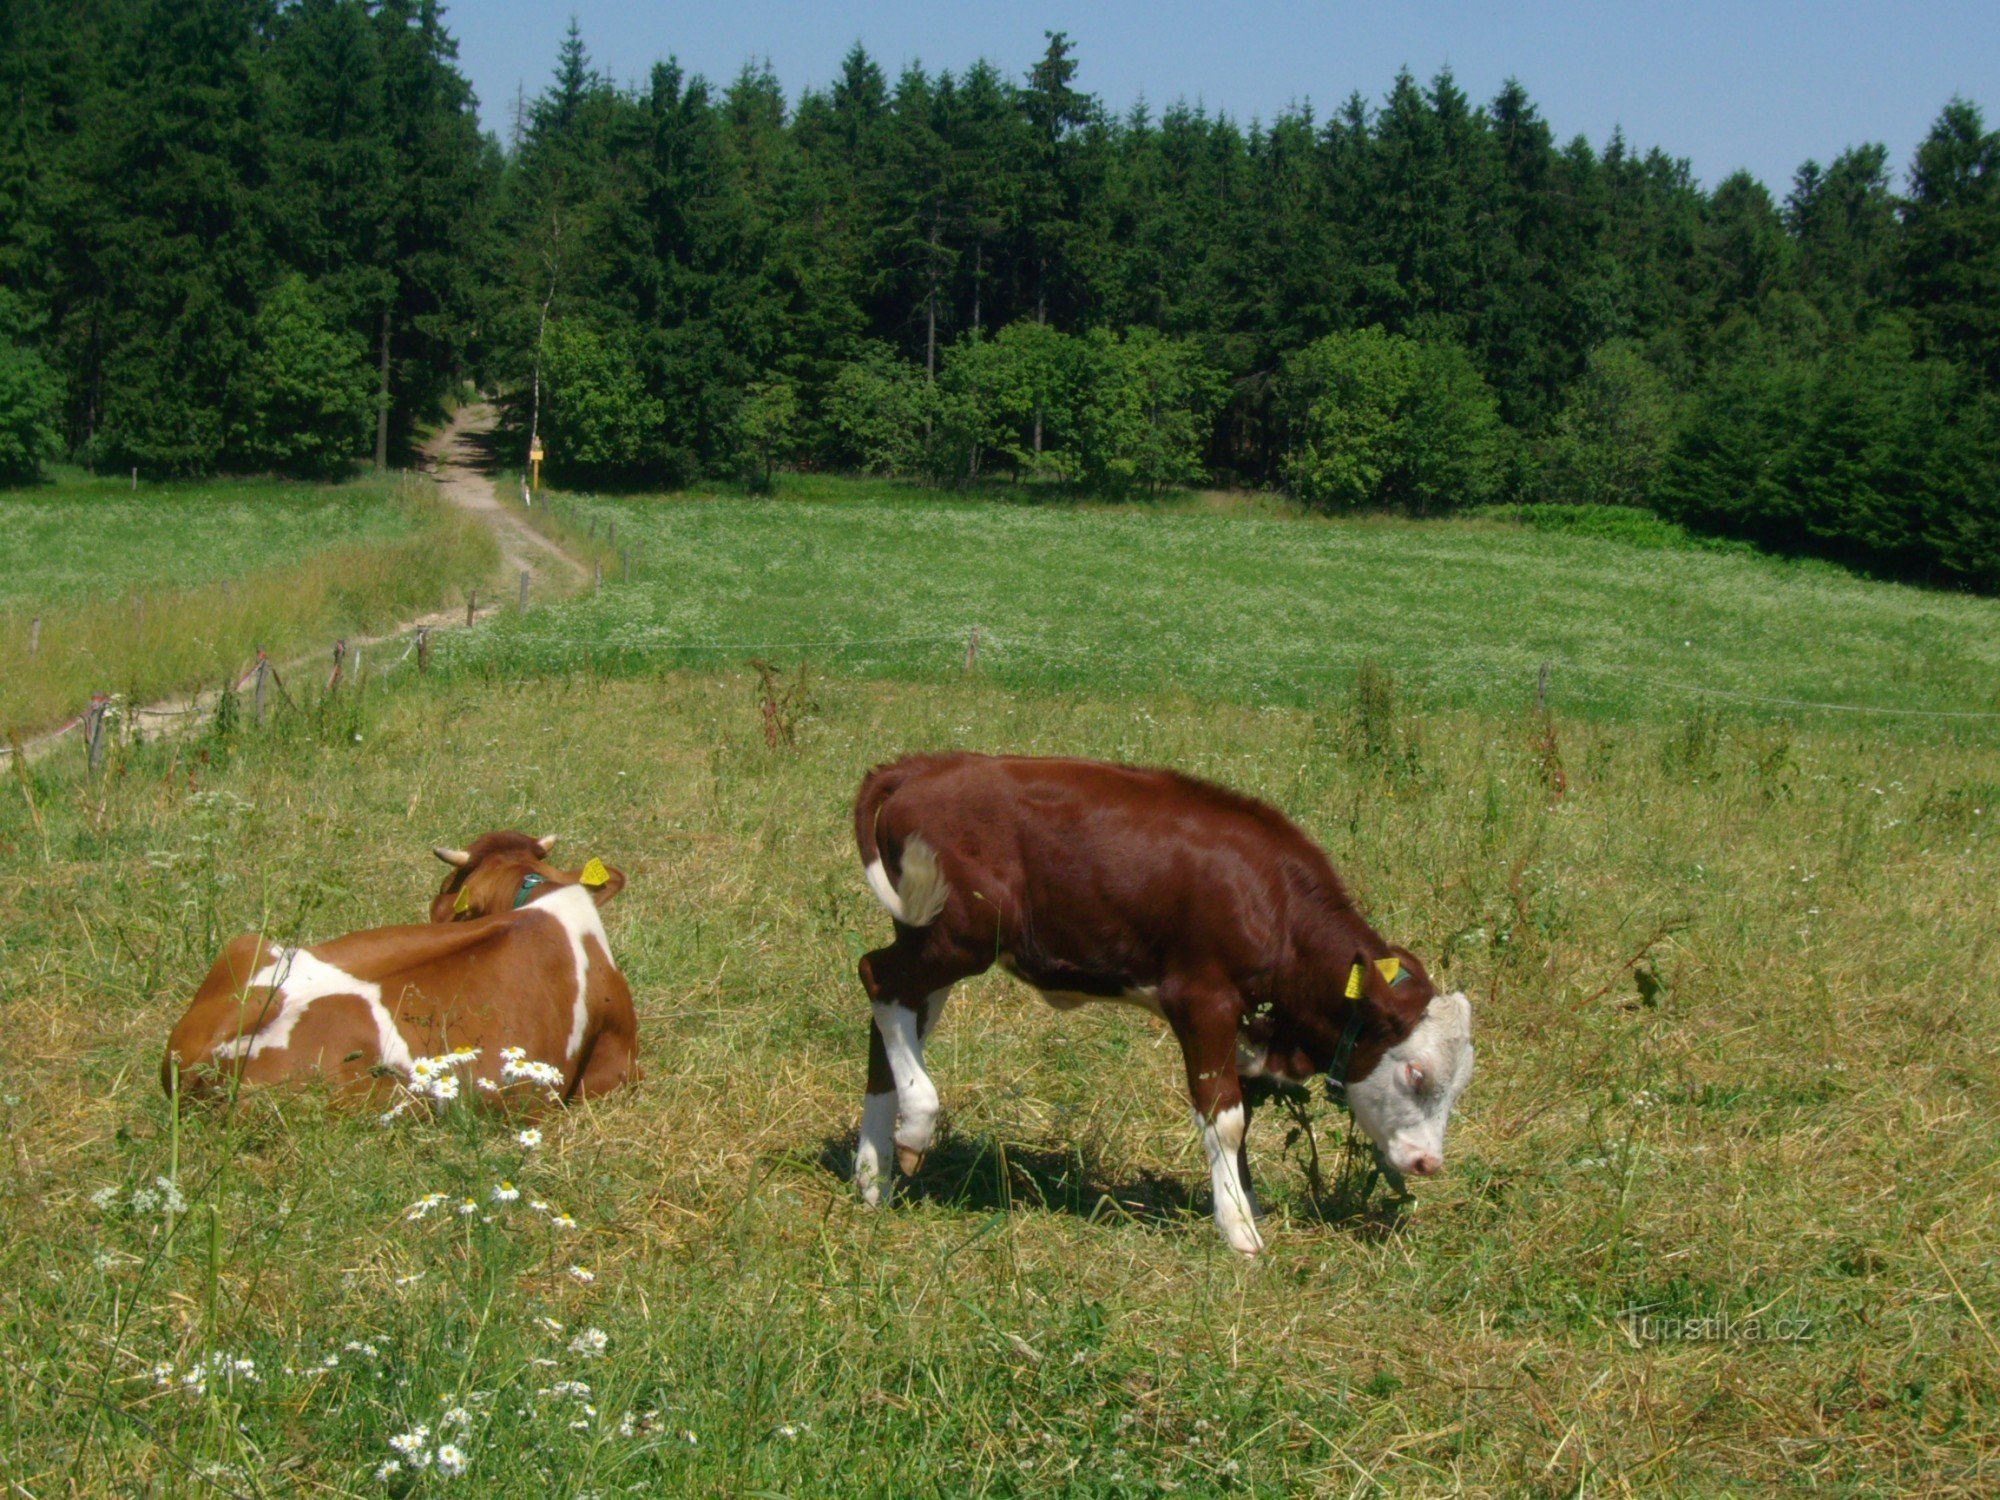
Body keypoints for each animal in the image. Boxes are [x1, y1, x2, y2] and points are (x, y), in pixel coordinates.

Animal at [852, 752, 1480, 1256]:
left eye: (1459, 1086)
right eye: (1416, 1073)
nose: (1428, 1163)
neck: (1273, 901)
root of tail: (923, 765)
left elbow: (1240, 1112)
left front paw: (1243, 1203)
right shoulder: (1203, 1000)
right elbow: (1226, 1117)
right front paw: (1241, 1233)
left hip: (932, 940)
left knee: (891, 1020)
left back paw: (872, 1178)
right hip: (960, 933)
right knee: (877, 978)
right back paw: (914, 1128)